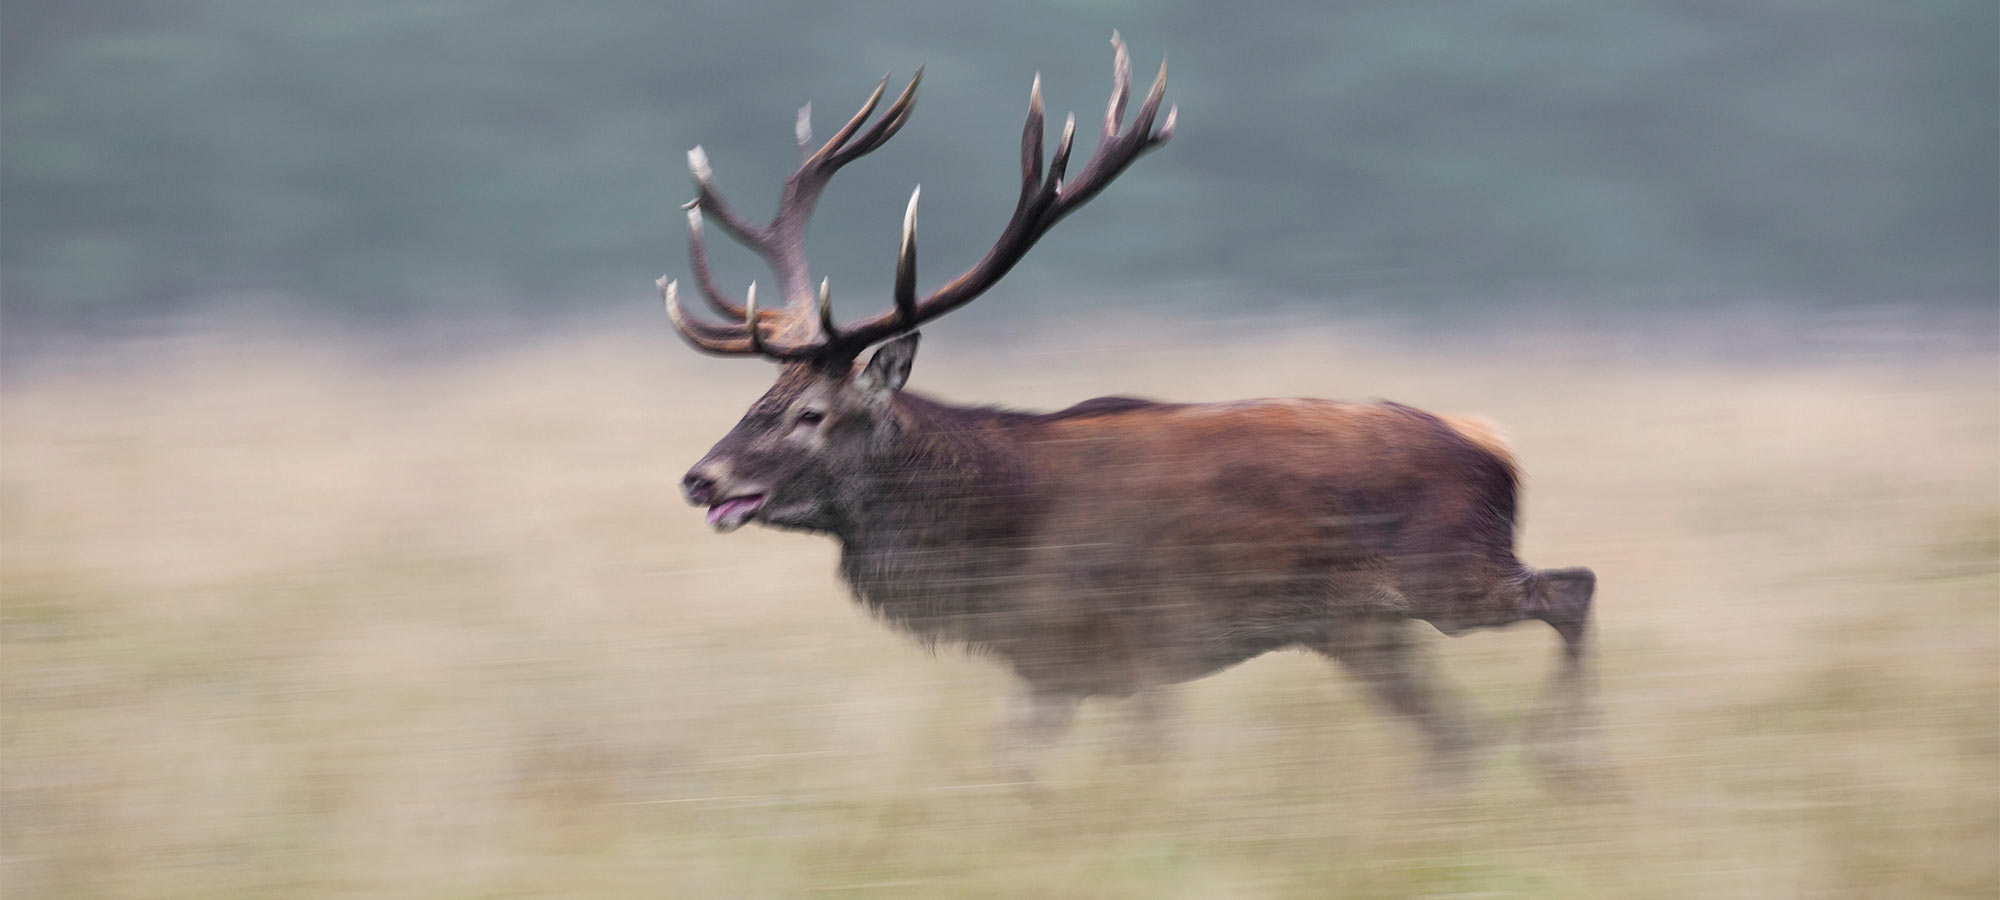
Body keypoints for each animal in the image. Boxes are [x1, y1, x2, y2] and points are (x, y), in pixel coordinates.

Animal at [664, 35, 1600, 780]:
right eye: (761, 399)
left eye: (811, 414)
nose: (701, 479)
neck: (993, 535)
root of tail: (1494, 447)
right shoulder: (1053, 664)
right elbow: (1012, 766)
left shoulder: (1136, 632)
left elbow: (1142, 760)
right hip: (1364, 627)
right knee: (1457, 738)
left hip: (1448, 570)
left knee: (1572, 591)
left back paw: (1569, 766)